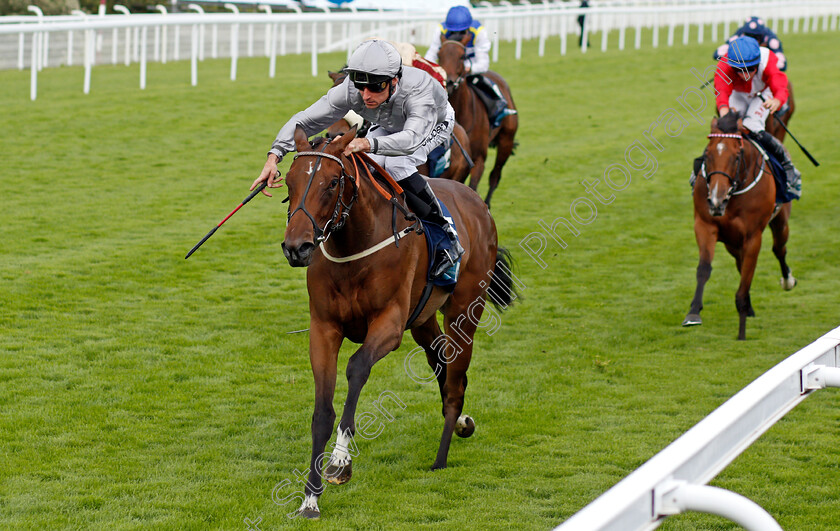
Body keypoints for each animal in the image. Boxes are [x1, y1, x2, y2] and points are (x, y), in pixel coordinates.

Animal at [282, 125, 516, 520]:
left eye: (332, 183)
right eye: (289, 181)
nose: (296, 247)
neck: (353, 248)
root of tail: (475, 200)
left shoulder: (388, 325)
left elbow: (357, 368)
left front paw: (340, 463)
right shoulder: (324, 328)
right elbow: (322, 412)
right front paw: (310, 498)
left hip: (465, 310)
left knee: (456, 377)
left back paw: (442, 454)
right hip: (423, 319)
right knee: (441, 363)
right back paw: (463, 422)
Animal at [434, 38, 520, 206]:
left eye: (462, 56)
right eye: (439, 54)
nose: (448, 82)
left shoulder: (479, 159)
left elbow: (473, 186)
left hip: (506, 140)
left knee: (495, 175)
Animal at [684, 114, 796, 342]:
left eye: (736, 156)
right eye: (707, 154)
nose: (715, 200)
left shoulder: (753, 236)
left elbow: (747, 274)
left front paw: (742, 320)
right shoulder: (705, 225)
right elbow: (704, 269)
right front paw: (693, 313)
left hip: (780, 221)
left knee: (779, 249)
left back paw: (788, 280)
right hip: (731, 241)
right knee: (741, 262)